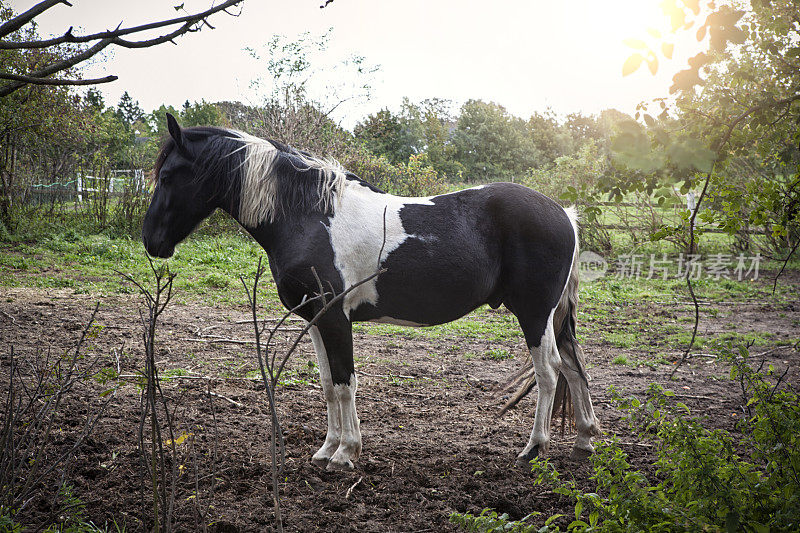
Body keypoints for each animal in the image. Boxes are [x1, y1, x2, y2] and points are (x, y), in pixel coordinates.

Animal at [141, 113, 596, 470]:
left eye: (167, 176)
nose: (151, 241)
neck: (309, 216)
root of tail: (564, 213)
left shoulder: (335, 318)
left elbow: (346, 383)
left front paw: (346, 453)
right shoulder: (317, 320)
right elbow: (328, 384)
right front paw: (326, 449)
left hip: (534, 314)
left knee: (550, 371)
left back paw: (534, 448)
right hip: (553, 318)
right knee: (574, 366)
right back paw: (584, 441)